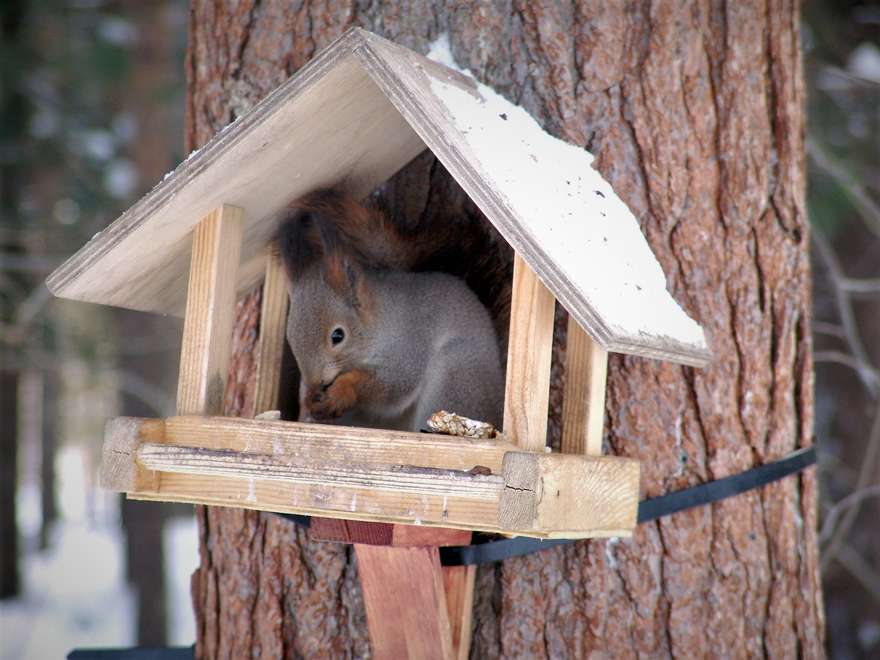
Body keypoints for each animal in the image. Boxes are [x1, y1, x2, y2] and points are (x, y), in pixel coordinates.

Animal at [276, 188, 502, 434]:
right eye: (290, 337)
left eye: (338, 335)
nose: (317, 383)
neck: (381, 322)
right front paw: (309, 399)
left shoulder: (408, 345)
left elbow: (393, 386)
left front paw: (343, 391)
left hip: (455, 375)